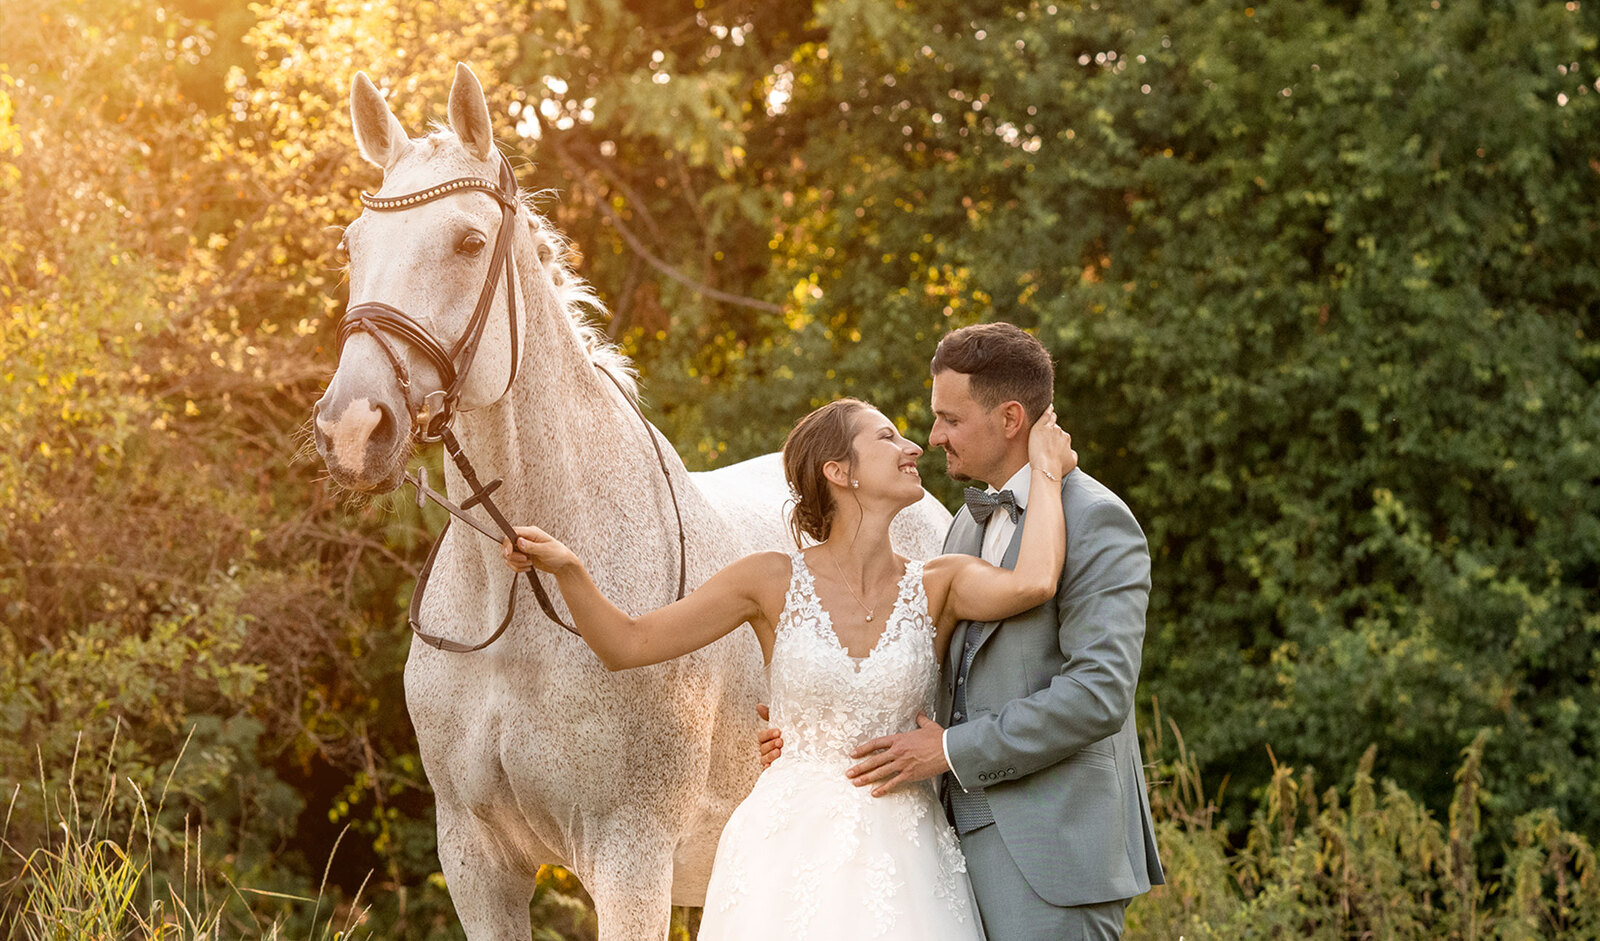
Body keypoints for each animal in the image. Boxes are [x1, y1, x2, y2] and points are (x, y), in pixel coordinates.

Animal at [312, 62, 947, 934]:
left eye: (469, 242)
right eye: (353, 245)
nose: (351, 426)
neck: (517, 606)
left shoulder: (629, 859)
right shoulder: (477, 863)